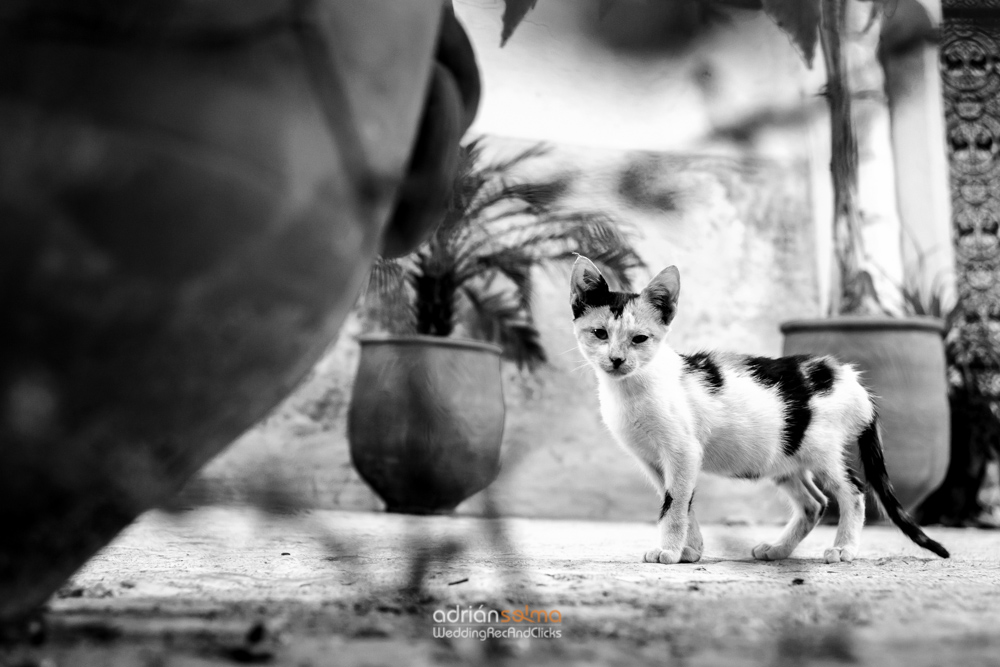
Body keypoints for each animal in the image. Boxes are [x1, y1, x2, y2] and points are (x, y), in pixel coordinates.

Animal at [568, 256, 948, 564]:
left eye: (639, 339)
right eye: (600, 333)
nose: (617, 359)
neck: (631, 390)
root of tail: (849, 377)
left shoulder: (683, 451)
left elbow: (674, 504)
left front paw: (670, 551)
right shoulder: (654, 461)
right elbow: (682, 501)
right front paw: (690, 551)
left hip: (823, 449)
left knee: (852, 492)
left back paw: (843, 549)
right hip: (783, 456)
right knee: (814, 504)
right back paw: (777, 550)